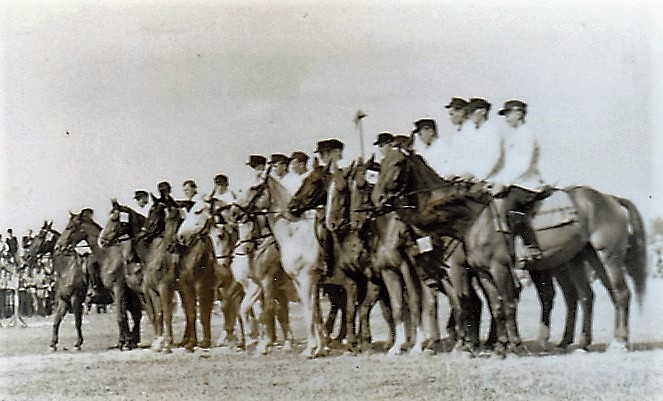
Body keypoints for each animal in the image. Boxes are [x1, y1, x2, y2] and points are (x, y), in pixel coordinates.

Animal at [374, 146, 648, 350]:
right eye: (381, 164)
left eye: (397, 164)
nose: (378, 200)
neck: (473, 220)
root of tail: (610, 199)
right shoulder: (473, 272)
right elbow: (489, 304)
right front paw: (492, 344)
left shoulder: (472, 269)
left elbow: (480, 303)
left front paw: (482, 345)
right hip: (581, 258)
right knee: (588, 296)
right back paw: (580, 342)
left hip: (607, 255)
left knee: (620, 293)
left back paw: (617, 343)